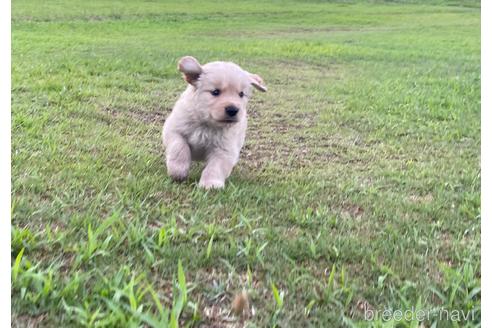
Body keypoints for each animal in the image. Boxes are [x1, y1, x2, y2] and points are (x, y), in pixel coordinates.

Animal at [162, 56, 266, 190]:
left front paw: (210, 184)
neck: (207, 124)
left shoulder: (225, 148)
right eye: (215, 92)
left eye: (241, 94)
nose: (233, 110)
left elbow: (216, 166)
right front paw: (178, 171)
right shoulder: (174, 130)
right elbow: (179, 148)